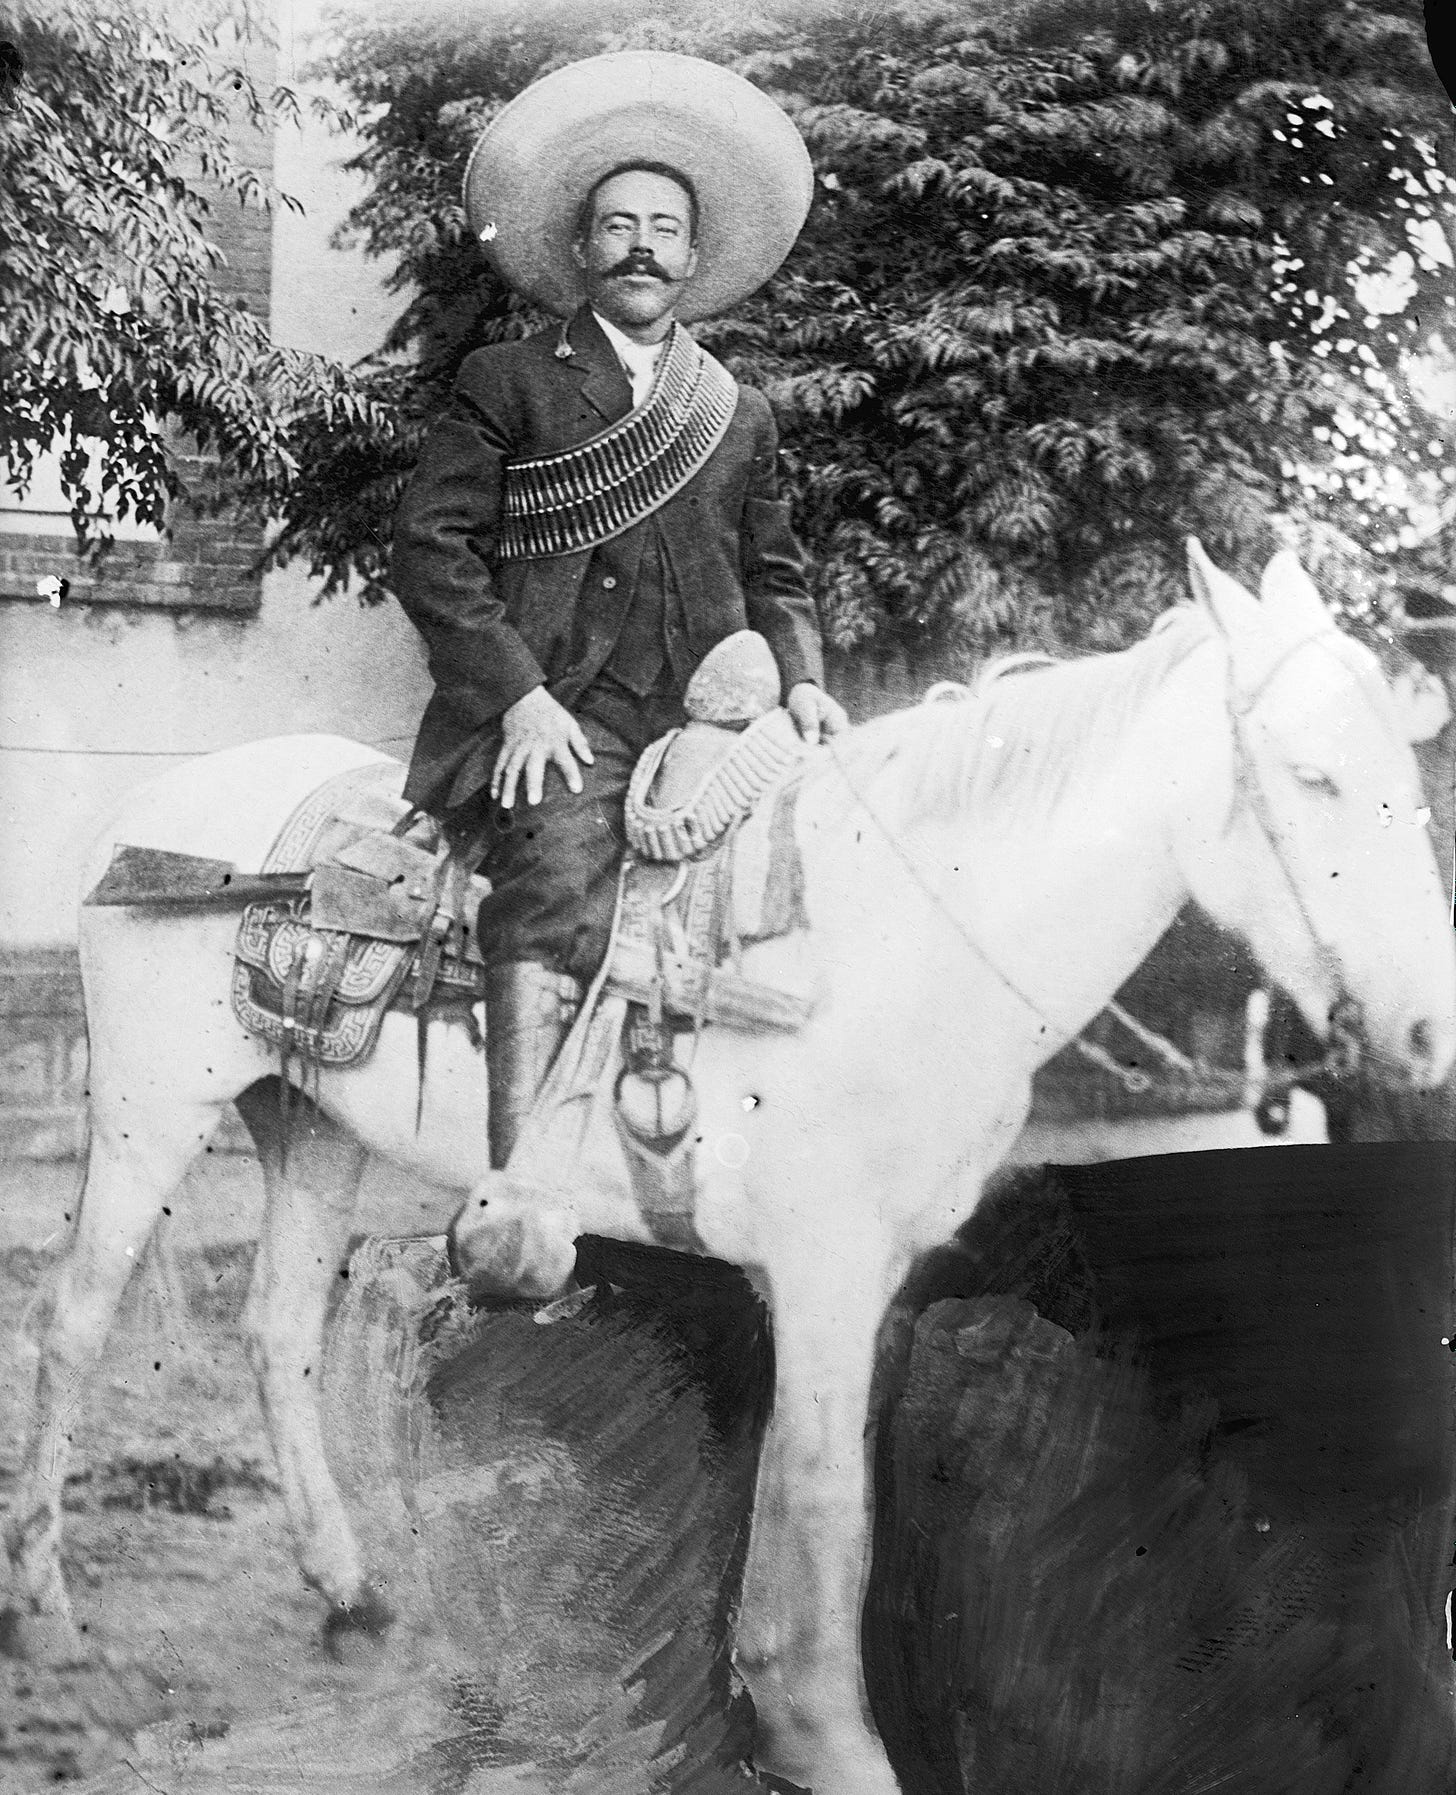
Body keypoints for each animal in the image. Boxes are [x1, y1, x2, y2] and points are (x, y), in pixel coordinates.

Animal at [5, 545, 1450, 1795]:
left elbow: (815, 1498)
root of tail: (148, 814)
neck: (877, 935)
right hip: (148, 1112)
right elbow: (823, 1508)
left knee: (278, 1330)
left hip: (311, 1125)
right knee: (71, 1326)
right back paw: (49, 1608)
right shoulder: (822, 1267)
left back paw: (349, 1592)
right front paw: (828, 1739)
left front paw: (782, 1715)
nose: (1429, 1028)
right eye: (1313, 777)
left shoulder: (856, 1282)